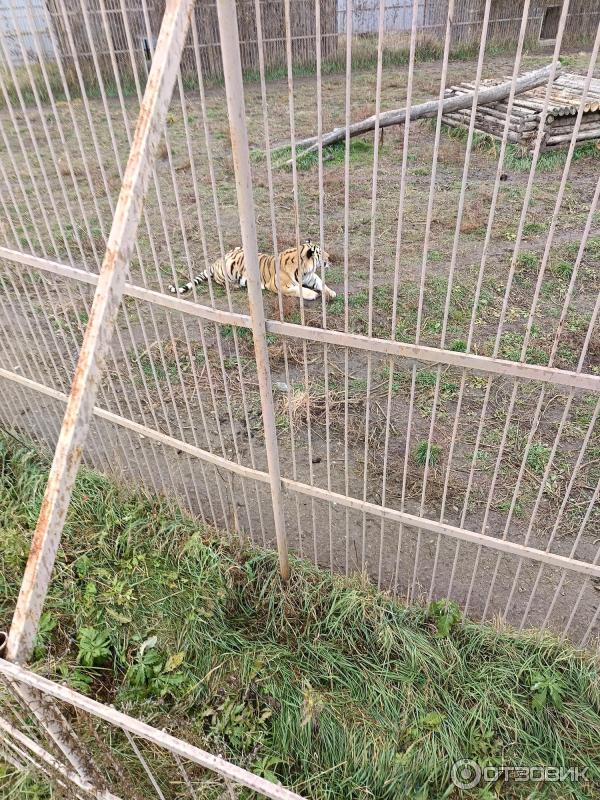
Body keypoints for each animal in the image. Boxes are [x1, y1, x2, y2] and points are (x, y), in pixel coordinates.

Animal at [170, 239, 338, 302]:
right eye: (321, 253)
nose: (330, 257)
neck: (304, 270)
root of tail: (215, 262)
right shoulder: (277, 285)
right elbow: (298, 290)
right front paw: (312, 294)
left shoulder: (311, 277)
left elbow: (321, 283)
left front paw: (331, 292)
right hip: (227, 270)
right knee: (220, 281)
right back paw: (235, 285)